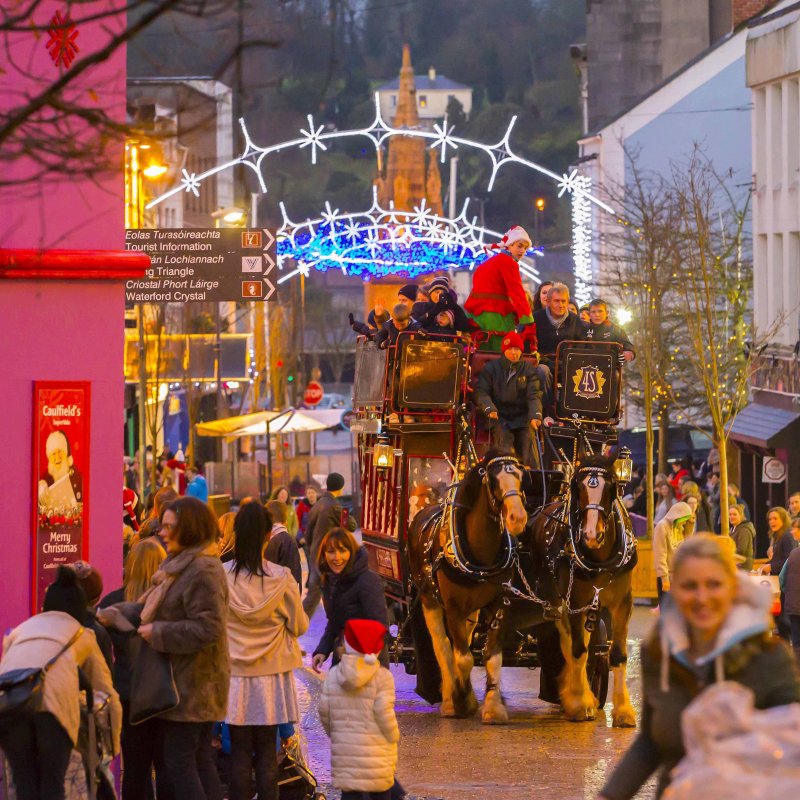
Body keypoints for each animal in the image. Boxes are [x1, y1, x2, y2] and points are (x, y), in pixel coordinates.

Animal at [410, 450, 528, 724]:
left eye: (519, 475)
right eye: (493, 480)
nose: (518, 518)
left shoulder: (499, 602)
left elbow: (492, 656)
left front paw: (492, 707)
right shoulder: (452, 606)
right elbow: (462, 658)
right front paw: (462, 700)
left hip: (471, 609)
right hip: (429, 600)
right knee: (442, 646)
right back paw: (448, 699)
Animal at [532, 454, 636, 728]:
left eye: (611, 488)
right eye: (578, 488)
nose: (591, 534)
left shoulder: (623, 603)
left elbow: (617, 654)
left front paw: (624, 711)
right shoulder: (574, 601)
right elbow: (578, 650)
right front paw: (579, 704)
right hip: (556, 600)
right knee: (569, 641)